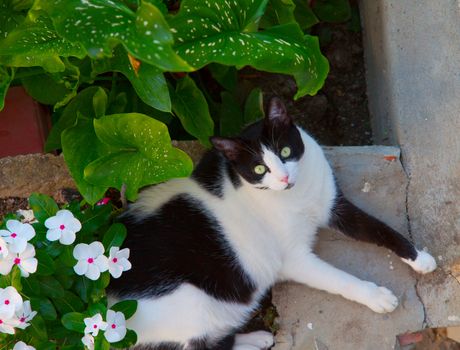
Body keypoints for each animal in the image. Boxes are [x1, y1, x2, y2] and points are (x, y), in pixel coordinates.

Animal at [107, 98, 434, 350]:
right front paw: (375, 296)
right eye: (259, 169)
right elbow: (339, 279)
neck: (295, 196)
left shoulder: (334, 206)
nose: (284, 177)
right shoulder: (293, 259)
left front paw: (419, 258)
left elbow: (380, 230)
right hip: (191, 306)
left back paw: (258, 338)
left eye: (285, 152)